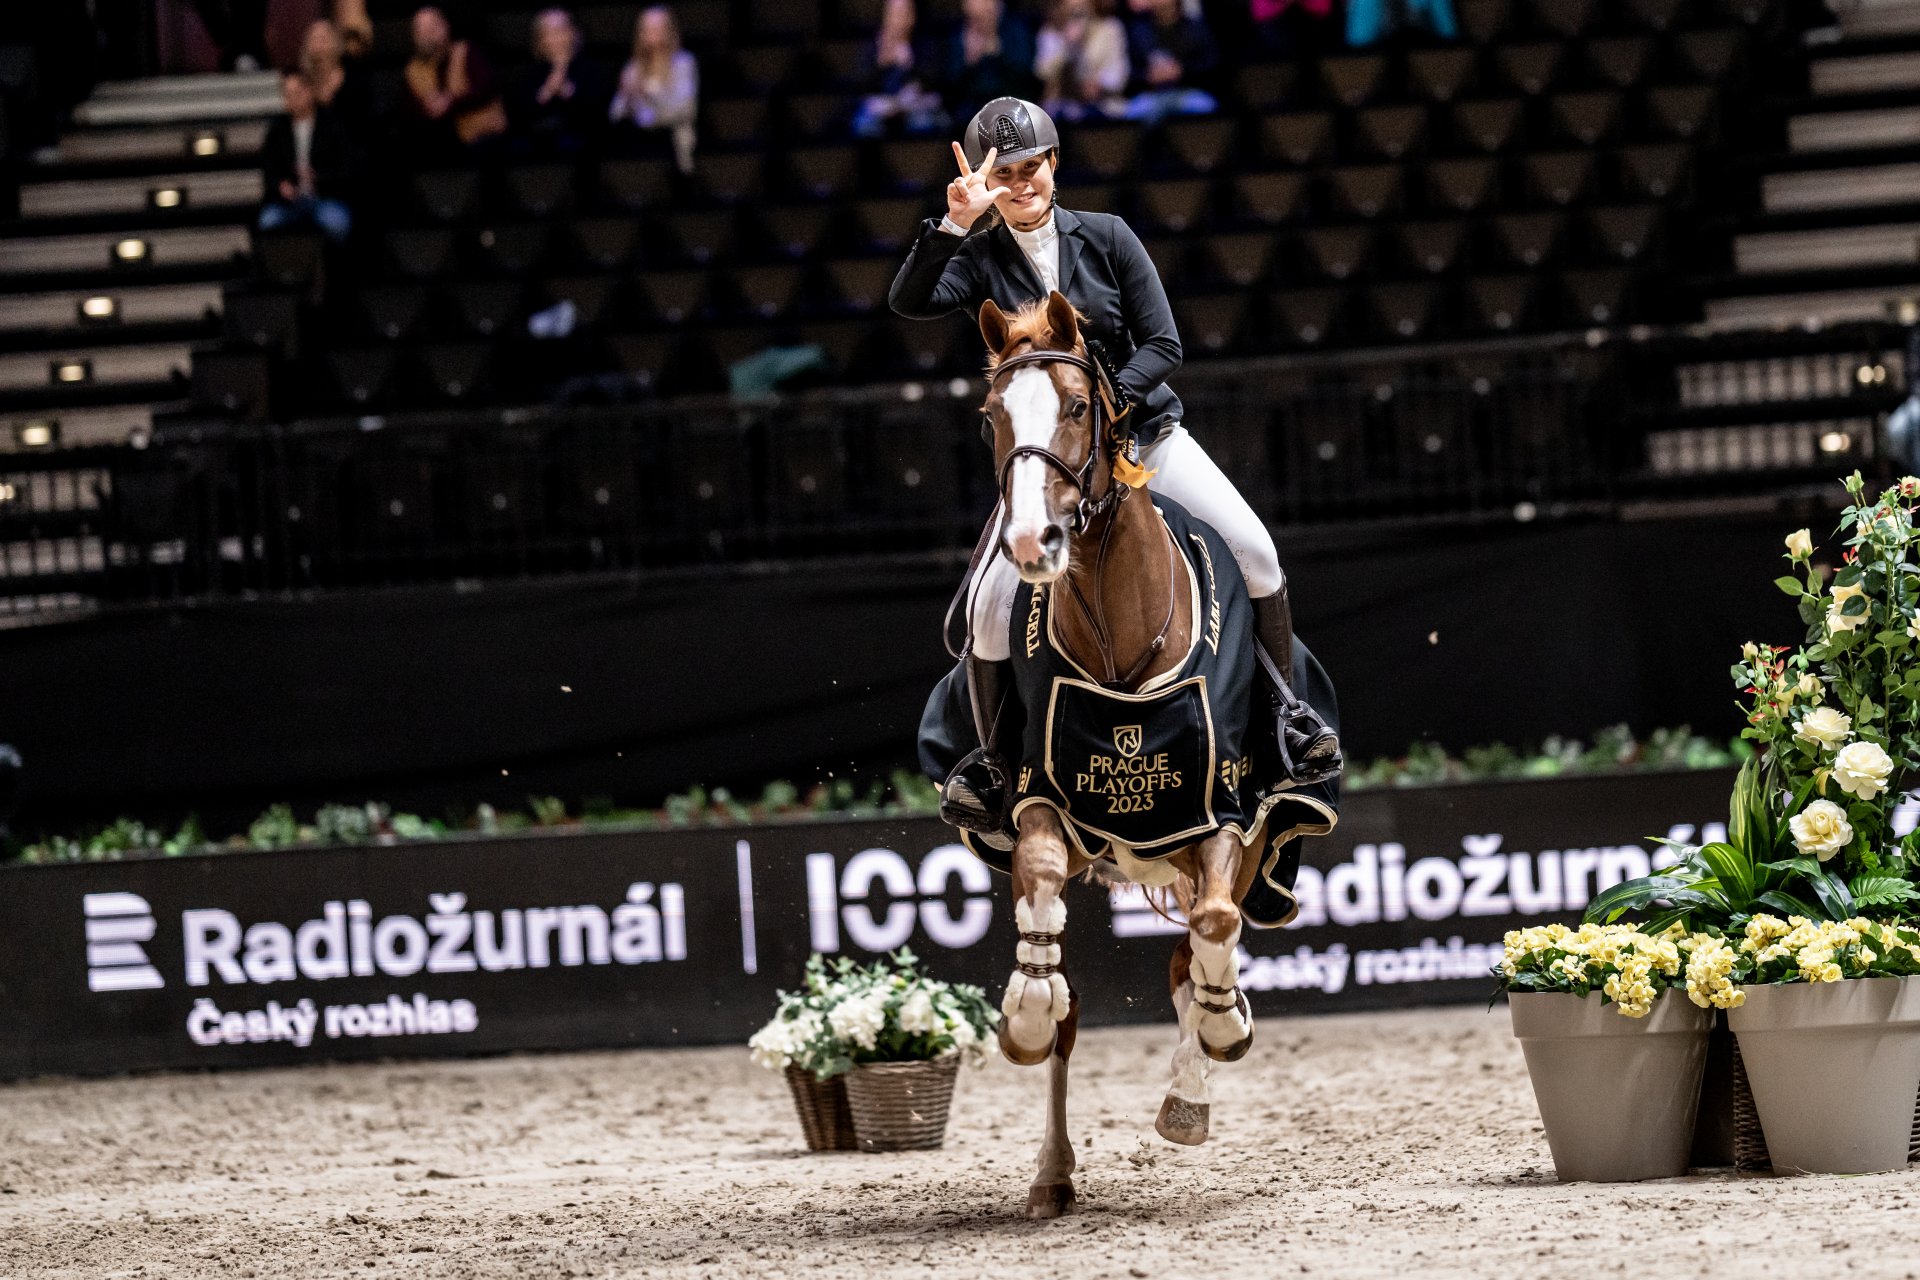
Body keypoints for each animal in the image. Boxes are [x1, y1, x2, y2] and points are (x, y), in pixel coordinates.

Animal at [967, 291, 1336, 1219]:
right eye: (991, 416)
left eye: (1076, 407)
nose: (1034, 543)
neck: (1117, 630)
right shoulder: (1041, 801)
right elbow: (1045, 904)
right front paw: (1025, 1012)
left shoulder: (1230, 812)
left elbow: (1214, 927)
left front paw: (1226, 1026)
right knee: (1078, 1008)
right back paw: (1053, 1172)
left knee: (1192, 950)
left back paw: (1190, 1090)